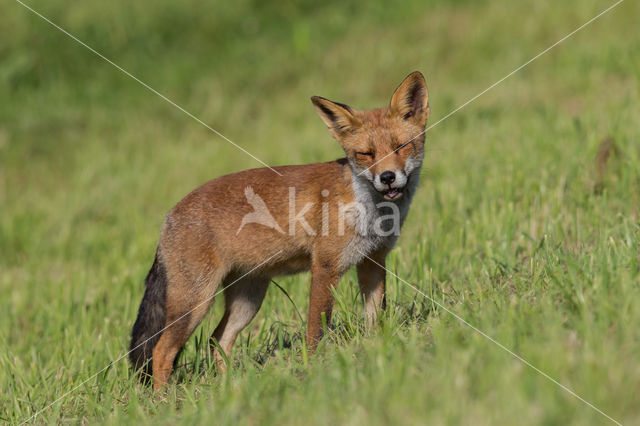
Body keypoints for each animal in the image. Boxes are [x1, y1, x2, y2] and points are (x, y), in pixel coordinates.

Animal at [130, 70, 430, 390]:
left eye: (400, 147)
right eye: (366, 154)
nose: (387, 177)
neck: (369, 210)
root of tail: (169, 215)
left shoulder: (373, 261)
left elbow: (375, 318)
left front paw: (376, 353)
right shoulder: (325, 266)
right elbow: (316, 331)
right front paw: (314, 368)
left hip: (248, 299)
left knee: (217, 340)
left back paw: (230, 389)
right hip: (196, 301)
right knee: (162, 351)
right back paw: (164, 399)